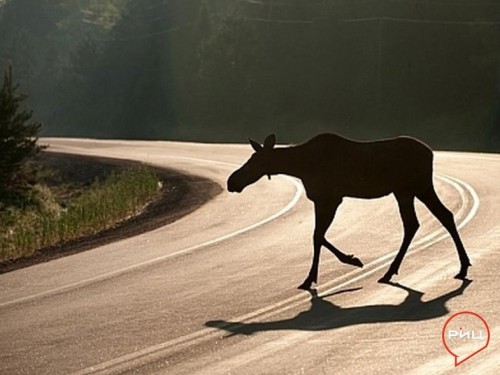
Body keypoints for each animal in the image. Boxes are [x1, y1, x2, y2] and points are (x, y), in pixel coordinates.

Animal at [229, 134, 470, 290]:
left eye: (254, 161)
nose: (232, 181)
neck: (300, 166)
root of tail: (431, 153)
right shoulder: (322, 199)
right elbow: (318, 236)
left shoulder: (331, 199)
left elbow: (317, 236)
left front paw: (322, 273)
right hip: (406, 190)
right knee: (428, 219)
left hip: (416, 186)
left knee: (429, 219)